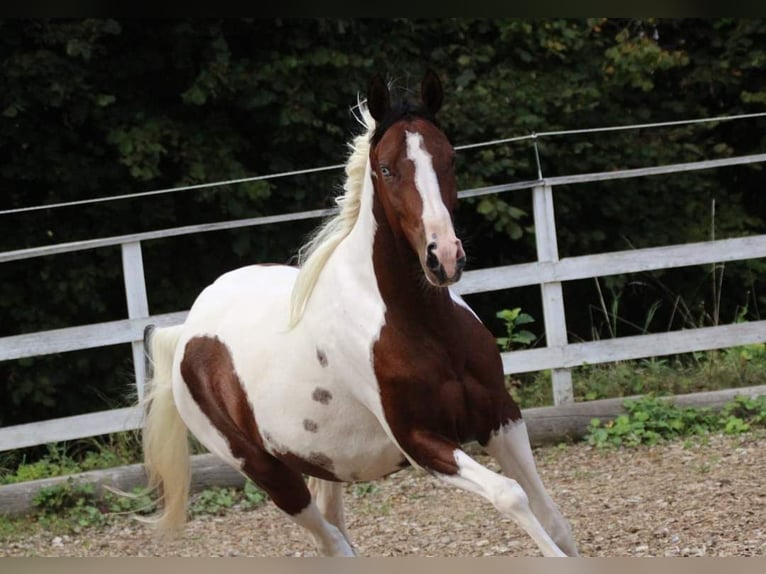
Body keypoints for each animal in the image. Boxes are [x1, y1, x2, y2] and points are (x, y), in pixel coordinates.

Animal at [141, 71, 580, 560]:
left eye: (449, 159)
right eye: (386, 169)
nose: (444, 257)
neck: (420, 327)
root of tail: (187, 333)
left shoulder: (501, 417)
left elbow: (555, 520)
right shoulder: (421, 442)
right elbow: (510, 495)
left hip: (325, 464)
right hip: (268, 473)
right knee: (333, 543)